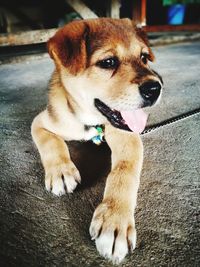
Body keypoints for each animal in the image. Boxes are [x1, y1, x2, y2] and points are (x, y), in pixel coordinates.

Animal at [31, 17, 162, 264]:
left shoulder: (127, 135)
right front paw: (60, 172)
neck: (90, 122)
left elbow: (123, 172)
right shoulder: (40, 122)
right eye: (108, 62)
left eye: (143, 57)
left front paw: (114, 219)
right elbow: (52, 143)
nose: (155, 88)